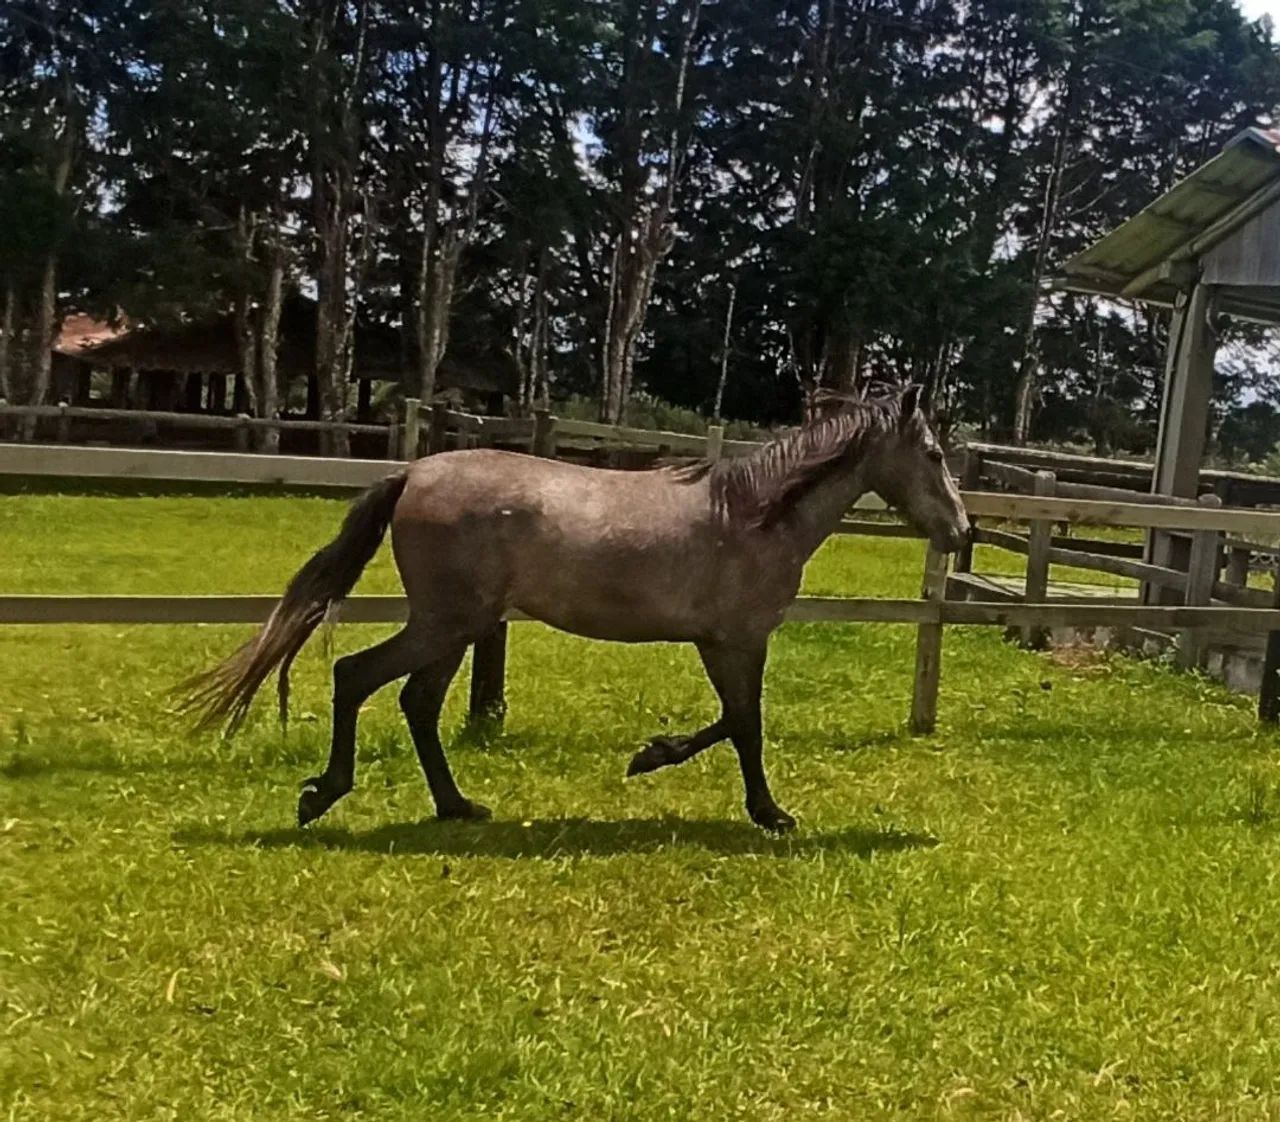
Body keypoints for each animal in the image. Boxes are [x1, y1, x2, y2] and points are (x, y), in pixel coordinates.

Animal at [181, 384, 969, 833]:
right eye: (933, 453)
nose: (963, 530)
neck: (751, 515)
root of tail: (411, 473)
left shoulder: (719, 641)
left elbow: (732, 722)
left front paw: (652, 757)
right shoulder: (737, 640)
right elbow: (746, 726)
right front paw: (767, 812)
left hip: (458, 627)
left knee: (416, 703)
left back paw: (457, 807)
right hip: (446, 622)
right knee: (356, 676)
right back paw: (323, 796)